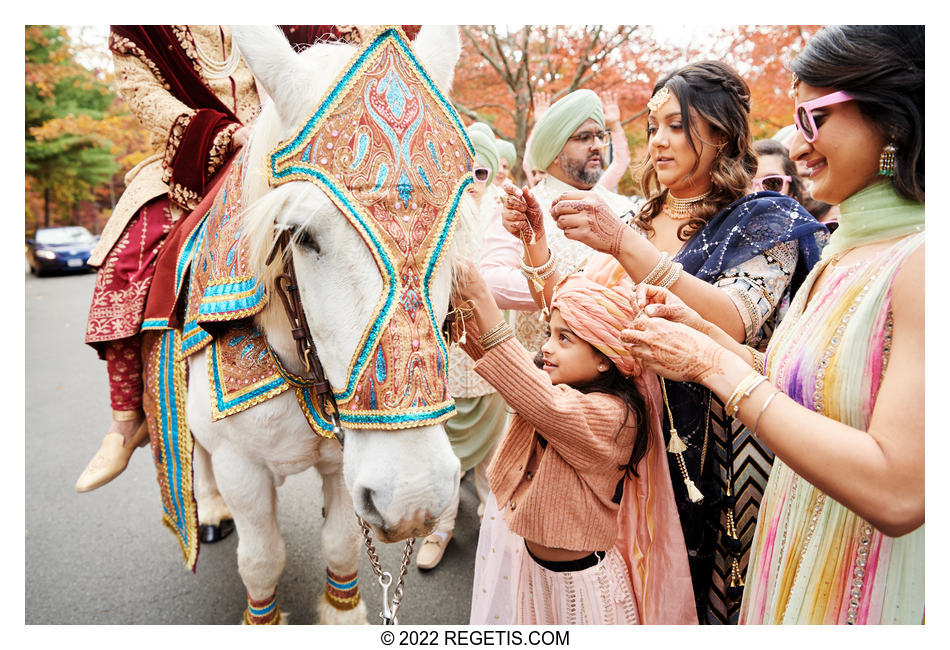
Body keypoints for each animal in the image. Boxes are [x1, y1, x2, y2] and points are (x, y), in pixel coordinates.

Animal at [175, 25, 468, 624]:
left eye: (452, 225)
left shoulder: (344, 465)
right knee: (201, 458)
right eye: (301, 235)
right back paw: (210, 510)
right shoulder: (242, 465)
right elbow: (261, 560)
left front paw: (342, 610)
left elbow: (341, 544)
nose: (414, 496)